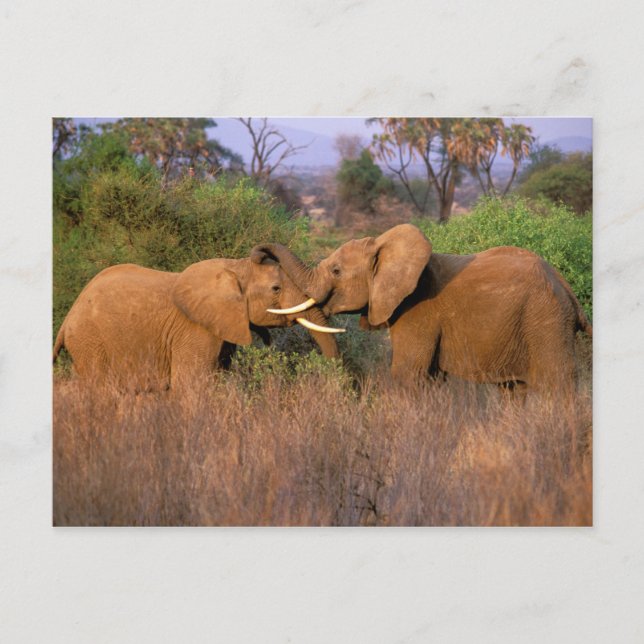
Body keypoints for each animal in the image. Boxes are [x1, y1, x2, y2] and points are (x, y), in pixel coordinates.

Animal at [53, 250, 343, 390]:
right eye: (276, 289)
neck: (234, 267)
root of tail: (67, 321)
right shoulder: (195, 329)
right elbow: (191, 385)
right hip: (90, 341)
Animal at [253, 223, 592, 394]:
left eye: (336, 271)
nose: (259, 255)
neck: (384, 246)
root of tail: (568, 291)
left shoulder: (418, 311)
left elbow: (407, 374)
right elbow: (428, 378)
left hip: (546, 320)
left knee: (557, 385)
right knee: (513, 390)